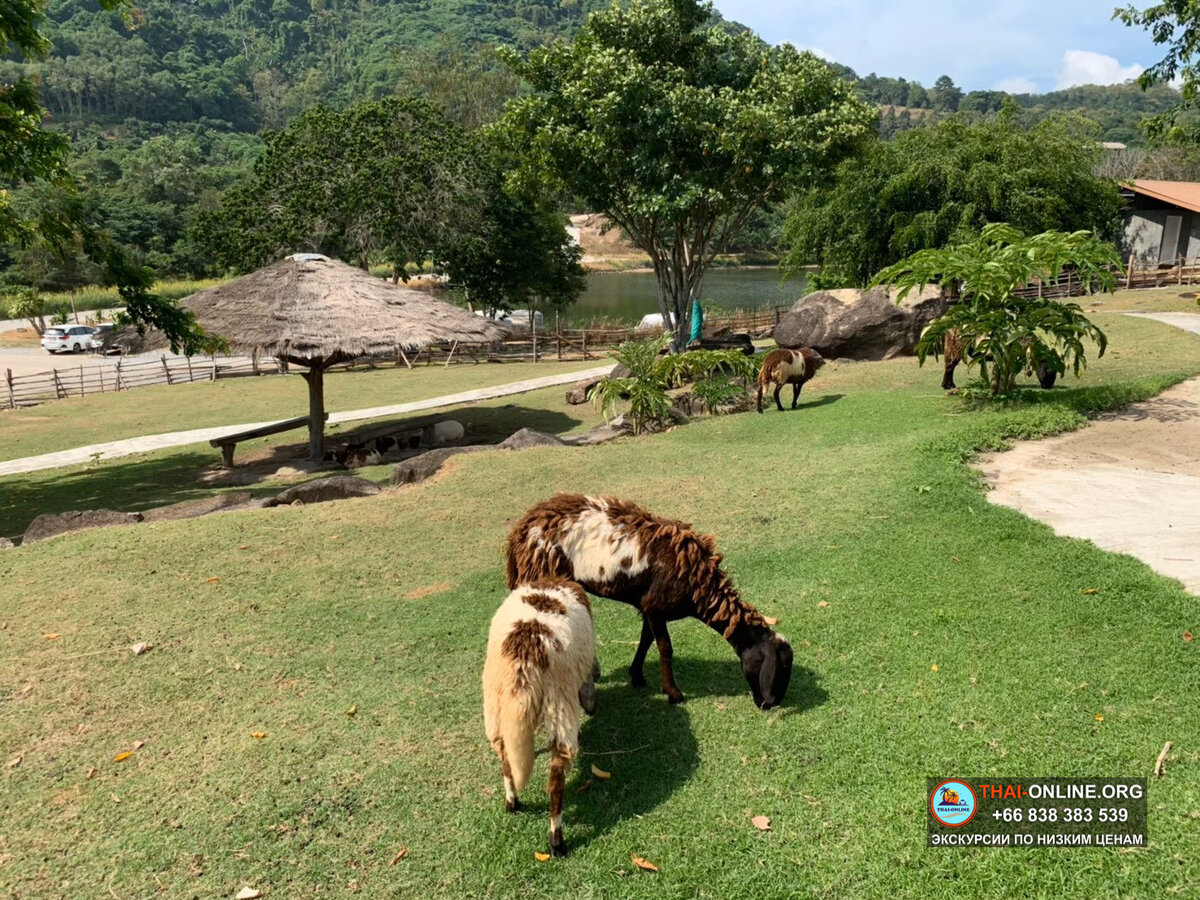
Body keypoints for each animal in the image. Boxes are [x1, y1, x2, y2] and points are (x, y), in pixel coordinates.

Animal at [482, 578, 600, 859]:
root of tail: (523, 663)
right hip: (560, 706)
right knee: (556, 781)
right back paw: (557, 842)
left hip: (494, 708)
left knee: (505, 759)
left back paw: (512, 802)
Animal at [504, 494, 792, 710]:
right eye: (778, 669)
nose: (769, 704)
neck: (699, 588)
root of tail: (520, 530)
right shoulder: (655, 606)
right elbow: (665, 648)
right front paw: (674, 694)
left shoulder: (648, 606)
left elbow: (646, 640)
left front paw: (637, 676)